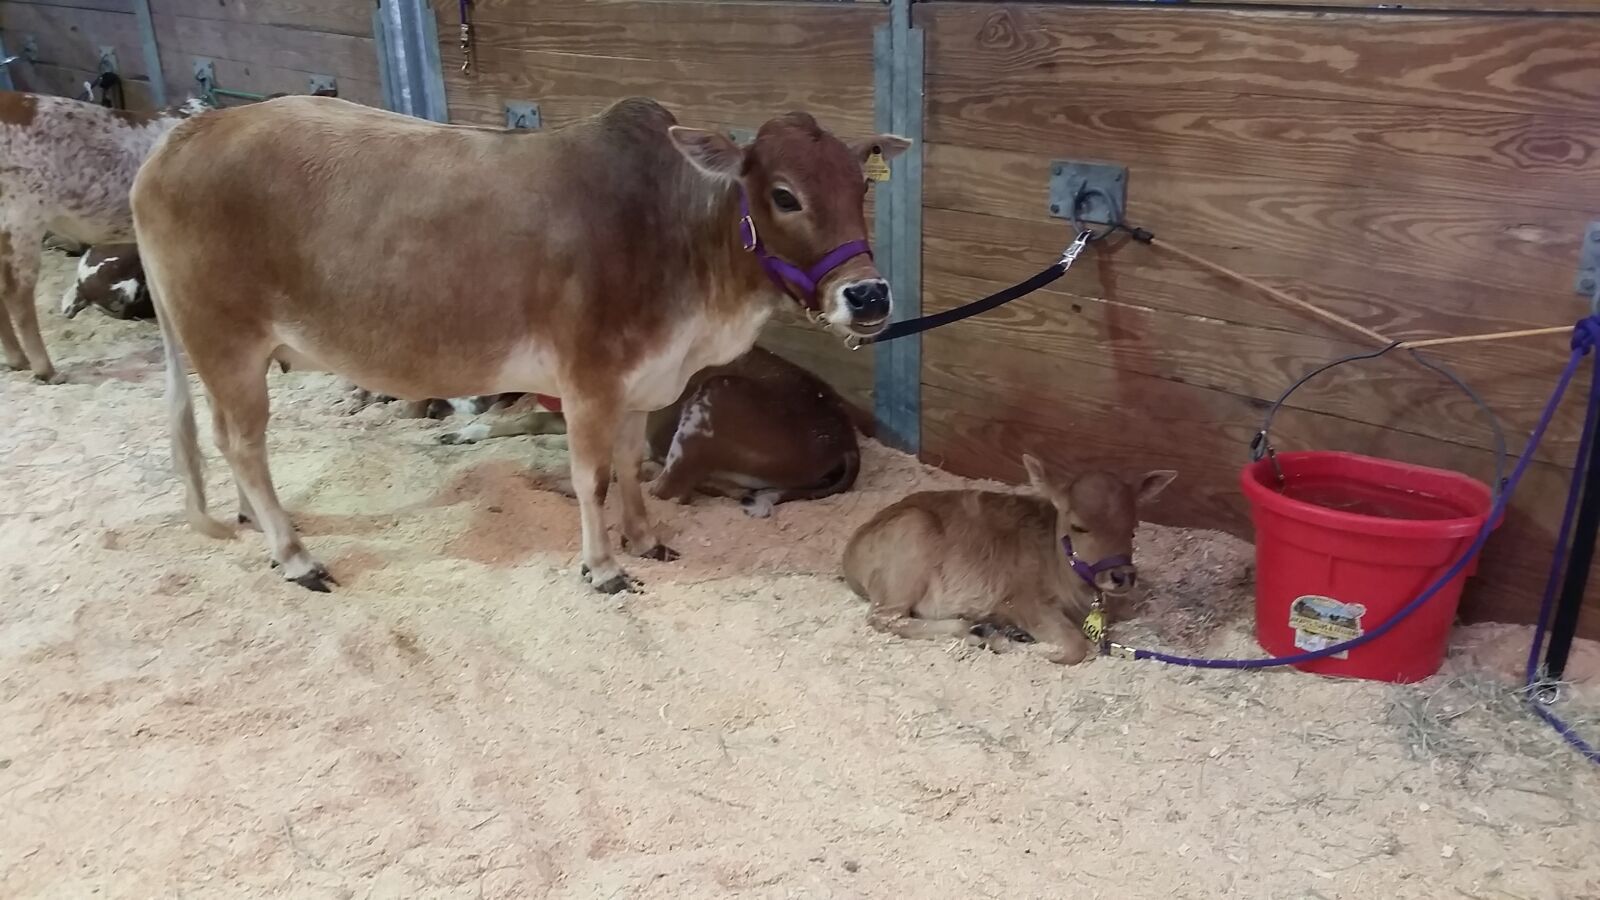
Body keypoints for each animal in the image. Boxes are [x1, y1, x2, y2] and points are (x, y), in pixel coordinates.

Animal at [437, 346, 861, 517]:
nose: (444, 405)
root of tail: (845, 439)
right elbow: (532, 420)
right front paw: (464, 434)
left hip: (714, 400)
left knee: (668, 490)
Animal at [842, 455, 1176, 665]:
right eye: (1079, 526)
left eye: (1132, 530)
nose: (1122, 576)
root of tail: (851, 554)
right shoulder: (1021, 601)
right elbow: (1075, 647)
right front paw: (1015, 646)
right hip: (909, 547)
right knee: (885, 618)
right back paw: (980, 631)